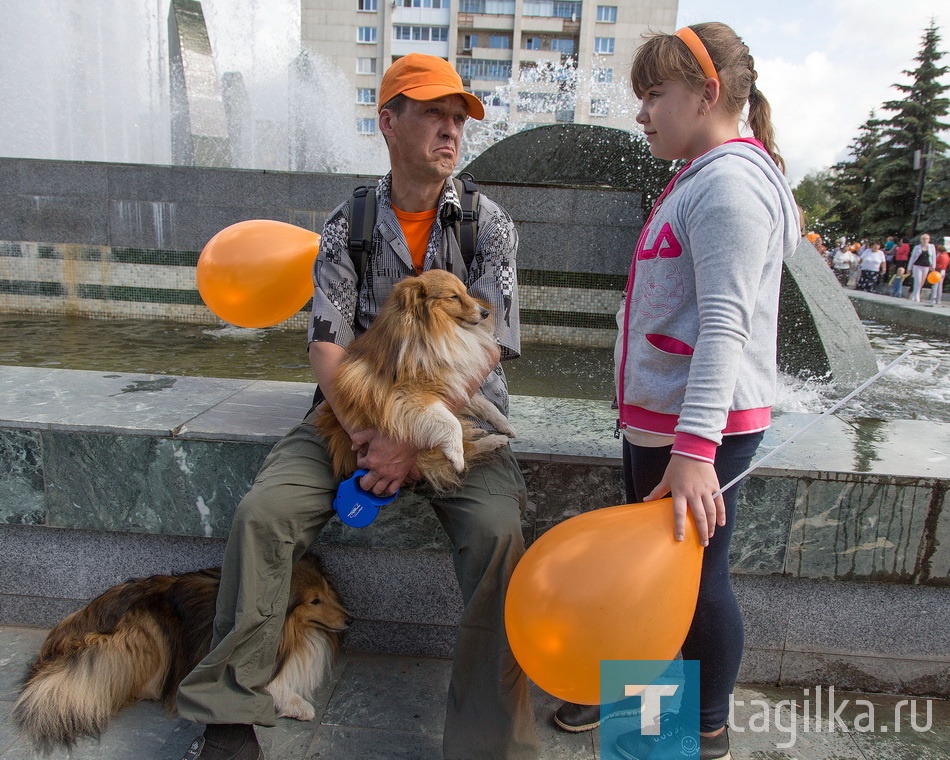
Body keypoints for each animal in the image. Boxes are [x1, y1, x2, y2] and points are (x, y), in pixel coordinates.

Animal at [13, 552, 350, 756]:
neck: (290, 632)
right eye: (314, 601)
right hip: (142, 633)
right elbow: (267, 684)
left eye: (326, 590)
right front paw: (298, 704)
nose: (350, 619)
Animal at [318, 270, 512, 496]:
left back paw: (488, 436)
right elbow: (450, 422)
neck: (431, 332)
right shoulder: (408, 398)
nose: (485, 313)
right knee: (461, 449)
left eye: (465, 291)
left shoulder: (451, 385)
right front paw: (456, 454)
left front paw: (505, 425)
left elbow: (486, 405)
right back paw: (487, 443)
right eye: (453, 296)